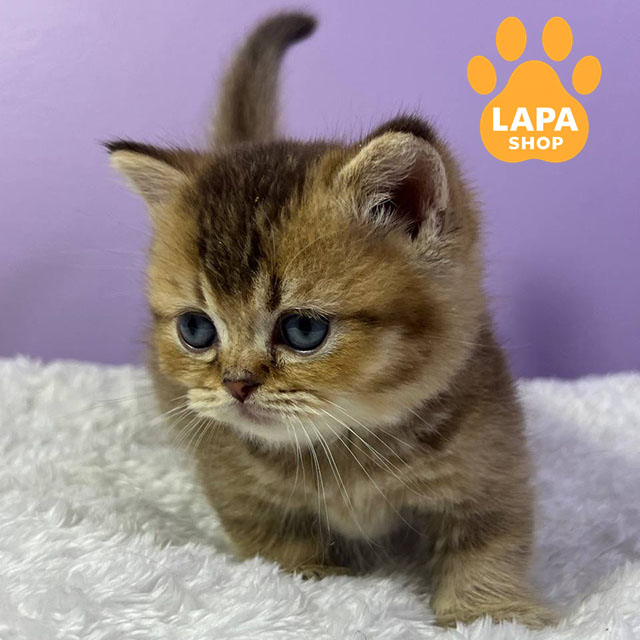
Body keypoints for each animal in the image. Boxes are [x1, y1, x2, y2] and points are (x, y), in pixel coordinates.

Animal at [107, 12, 555, 628]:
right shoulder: (237, 486)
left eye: (303, 330)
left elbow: (490, 543)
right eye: (196, 329)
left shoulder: (491, 465)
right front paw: (312, 582)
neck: (344, 450)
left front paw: (488, 610)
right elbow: (278, 547)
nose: (236, 384)